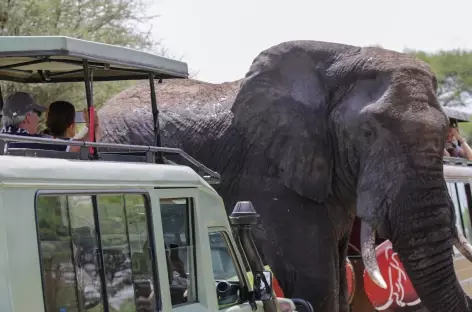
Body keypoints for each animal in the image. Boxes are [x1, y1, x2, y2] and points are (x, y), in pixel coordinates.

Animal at [97, 40, 472, 312]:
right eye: (366, 133)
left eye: (444, 133)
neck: (344, 56)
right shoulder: (268, 176)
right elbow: (314, 282)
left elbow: (339, 279)